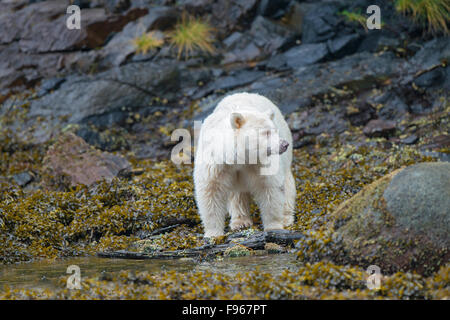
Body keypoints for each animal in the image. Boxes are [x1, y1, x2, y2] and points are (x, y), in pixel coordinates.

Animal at [193, 92, 296, 238]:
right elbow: (211, 191)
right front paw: (213, 234)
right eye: (266, 132)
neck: (239, 159)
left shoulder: (260, 163)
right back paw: (240, 222)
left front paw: (274, 226)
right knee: (237, 194)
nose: (284, 144)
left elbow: (270, 188)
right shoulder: (217, 164)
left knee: (287, 185)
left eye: (275, 130)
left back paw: (286, 218)